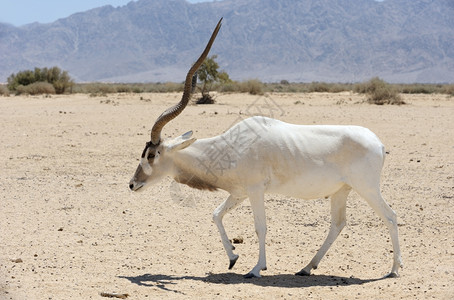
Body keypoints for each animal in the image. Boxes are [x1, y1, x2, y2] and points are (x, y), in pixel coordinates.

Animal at [129, 17, 402, 278]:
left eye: (152, 154)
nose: (132, 184)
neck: (227, 147)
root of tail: (378, 143)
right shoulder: (239, 192)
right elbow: (216, 214)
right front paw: (233, 257)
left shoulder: (255, 189)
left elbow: (260, 226)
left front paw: (256, 268)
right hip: (341, 191)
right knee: (338, 224)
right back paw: (306, 267)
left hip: (366, 187)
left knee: (390, 216)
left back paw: (394, 270)